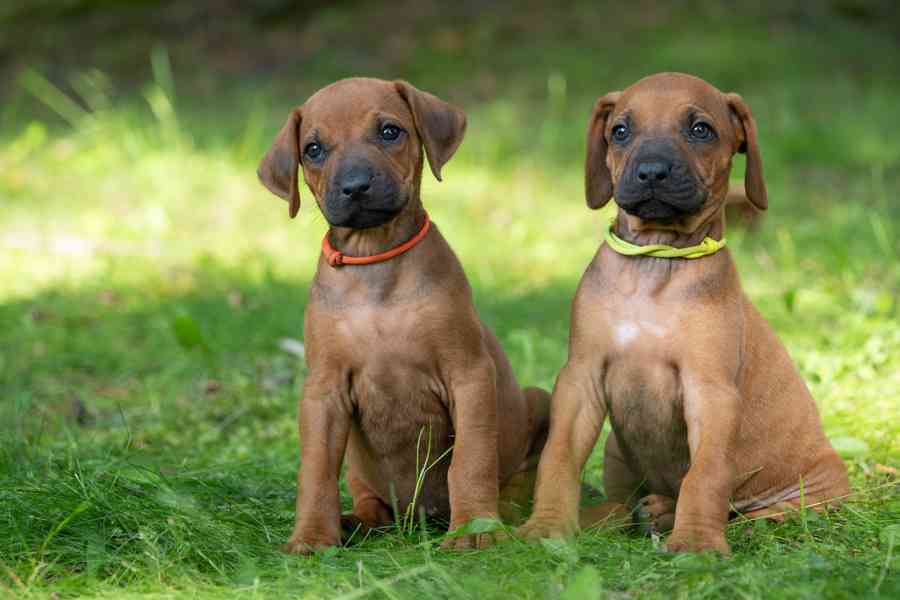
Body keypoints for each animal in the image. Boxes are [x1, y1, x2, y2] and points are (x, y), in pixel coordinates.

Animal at [256, 78, 552, 552]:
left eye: (390, 132)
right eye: (314, 149)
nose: (356, 186)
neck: (375, 259)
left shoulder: (469, 374)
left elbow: (470, 461)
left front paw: (474, 529)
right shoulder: (323, 391)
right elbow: (316, 471)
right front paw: (312, 537)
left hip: (538, 401)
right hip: (361, 471)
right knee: (369, 502)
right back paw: (354, 522)